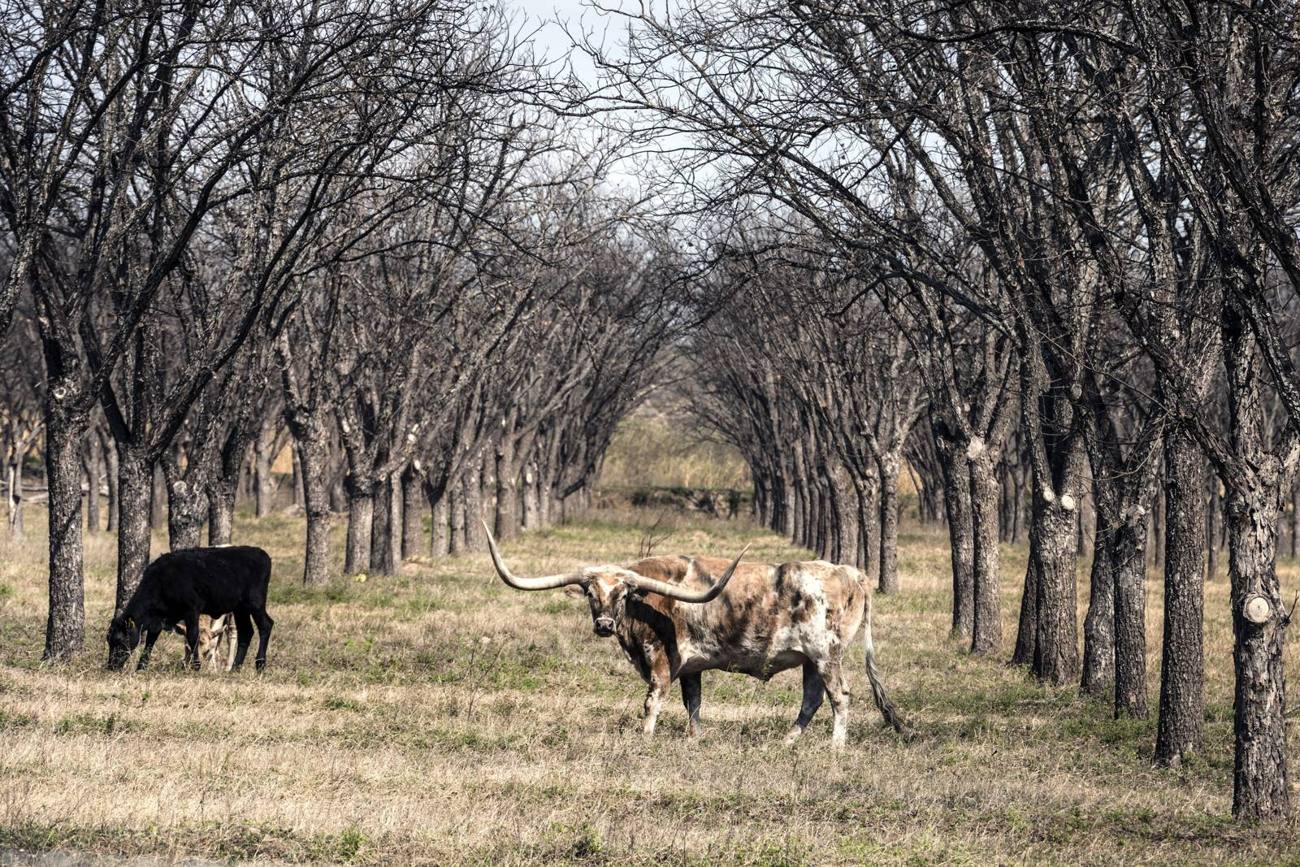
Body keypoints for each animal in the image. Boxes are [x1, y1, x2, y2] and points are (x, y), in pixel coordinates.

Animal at [106, 546, 274, 672]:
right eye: (109, 640)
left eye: (120, 640)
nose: (111, 665)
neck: (162, 580)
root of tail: (261, 553)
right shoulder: (160, 618)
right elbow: (150, 640)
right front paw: (141, 667)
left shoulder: (191, 610)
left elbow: (193, 635)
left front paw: (196, 666)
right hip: (240, 609)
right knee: (246, 632)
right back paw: (235, 668)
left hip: (255, 603)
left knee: (266, 625)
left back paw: (260, 664)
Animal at [483, 523, 904, 747]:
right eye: (590, 593)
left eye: (622, 593)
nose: (603, 625)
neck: (647, 601)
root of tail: (851, 572)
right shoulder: (692, 668)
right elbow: (694, 704)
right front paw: (694, 738)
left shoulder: (660, 659)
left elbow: (652, 700)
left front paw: (646, 737)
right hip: (809, 661)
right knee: (812, 699)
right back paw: (787, 742)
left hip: (826, 654)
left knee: (839, 696)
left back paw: (835, 747)